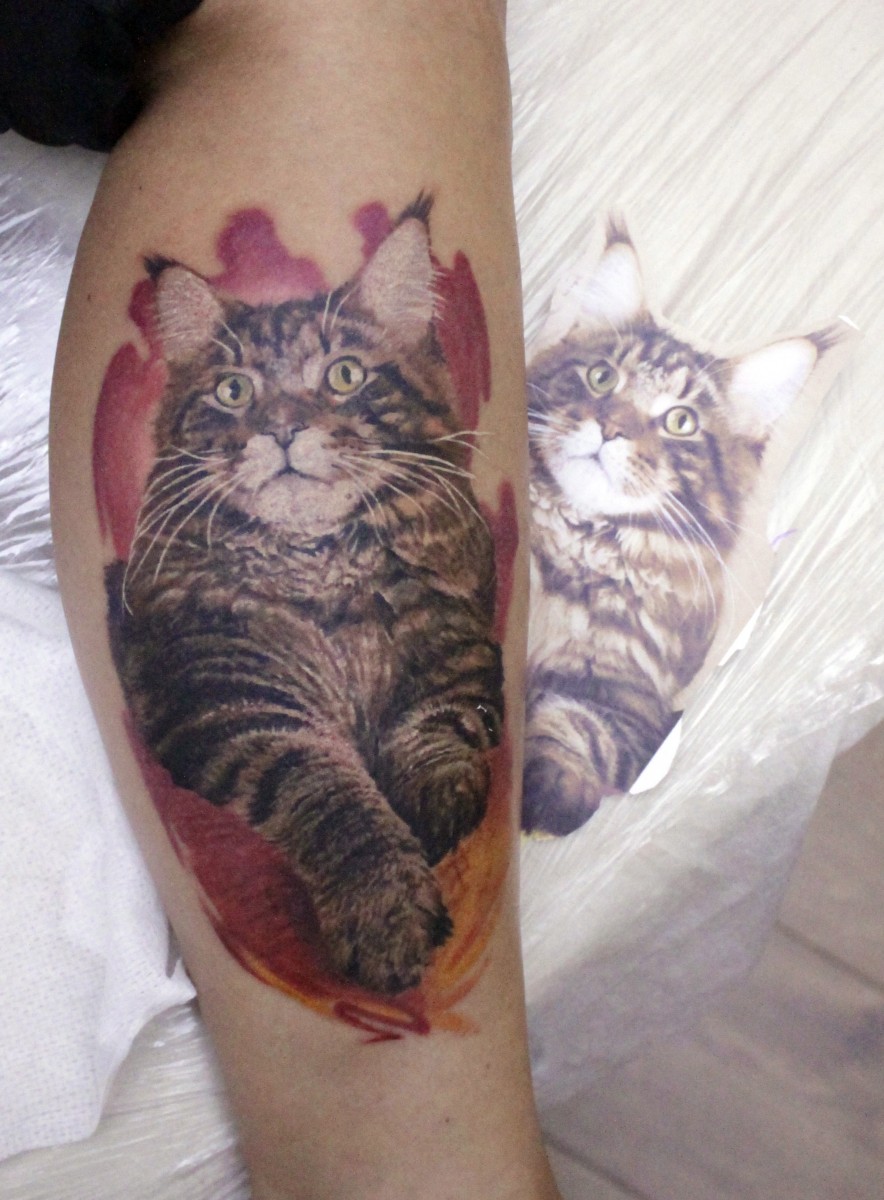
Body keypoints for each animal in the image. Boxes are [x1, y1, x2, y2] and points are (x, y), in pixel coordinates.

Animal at [105, 199, 504, 995]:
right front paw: (383, 911)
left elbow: (436, 732)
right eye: (234, 391)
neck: (324, 567)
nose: (285, 430)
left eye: (344, 375)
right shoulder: (232, 699)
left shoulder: (457, 644)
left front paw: (434, 806)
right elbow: (331, 798)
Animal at [523, 219, 830, 836]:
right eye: (601, 377)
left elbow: (580, 729)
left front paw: (551, 791)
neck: (579, 540)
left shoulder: (630, 704)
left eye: (680, 421)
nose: (610, 428)